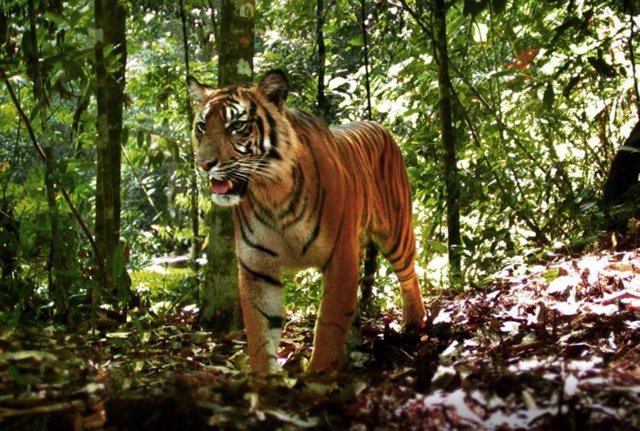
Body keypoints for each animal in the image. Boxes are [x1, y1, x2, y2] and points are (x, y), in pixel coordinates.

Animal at [187, 70, 426, 374]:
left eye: (237, 126)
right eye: (202, 126)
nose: (204, 164)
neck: (272, 193)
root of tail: (377, 124)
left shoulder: (340, 256)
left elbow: (329, 324)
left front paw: (318, 376)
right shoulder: (257, 267)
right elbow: (260, 332)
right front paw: (264, 379)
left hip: (396, 233)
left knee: (408, 274)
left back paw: (414, 323)